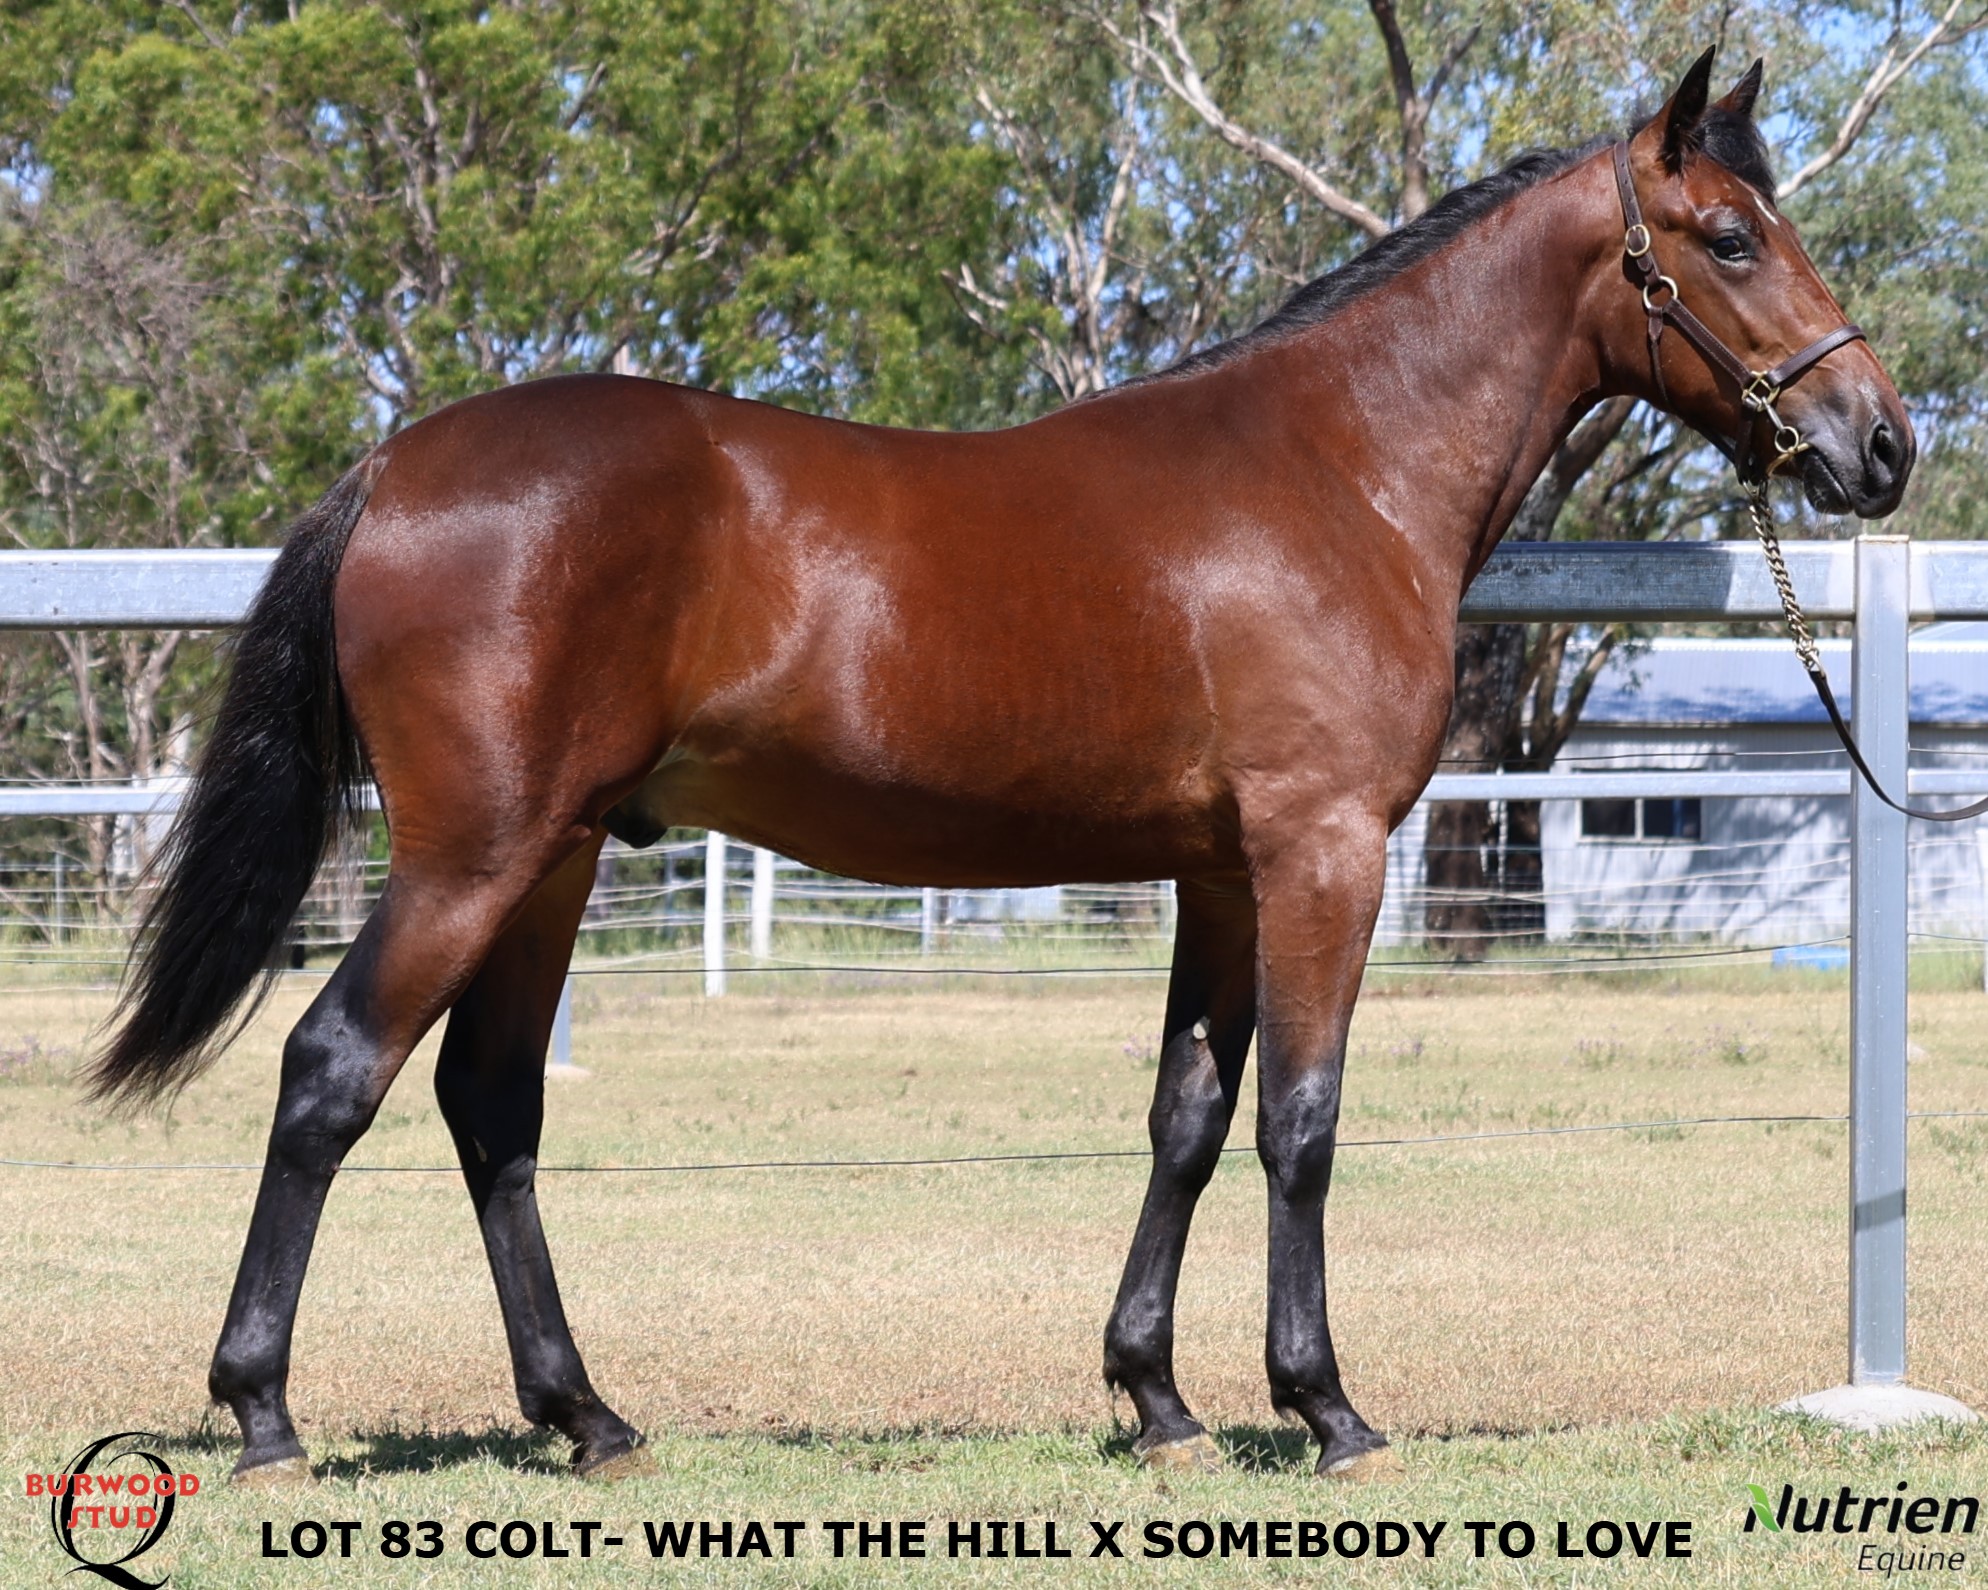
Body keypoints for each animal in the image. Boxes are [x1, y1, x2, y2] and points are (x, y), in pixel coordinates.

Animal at [92, 48, 1913, 1485]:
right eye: (1732, 237)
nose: (1881, 443)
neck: (1340, 468)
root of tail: (394, 467)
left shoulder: (1219, 869)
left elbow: (1188, 1115)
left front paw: (1158, 1401)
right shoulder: (1321, 849)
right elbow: (1301, 1119)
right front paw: (1324, 1409)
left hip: (556, 858)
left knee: (490, 1102)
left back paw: (587, 1417)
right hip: (474, 856)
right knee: (331, 1071)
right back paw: (264, 1416)